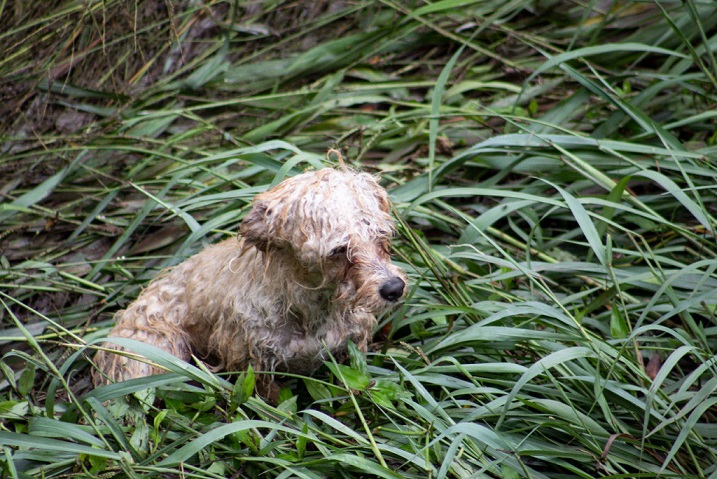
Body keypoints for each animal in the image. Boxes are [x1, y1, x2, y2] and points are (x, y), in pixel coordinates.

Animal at [93, 167, 408, 392]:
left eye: (381, 236)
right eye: (338, 251)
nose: (394, 288)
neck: (310, 311)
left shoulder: (349, 352)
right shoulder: (255, 365)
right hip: (151, 360)